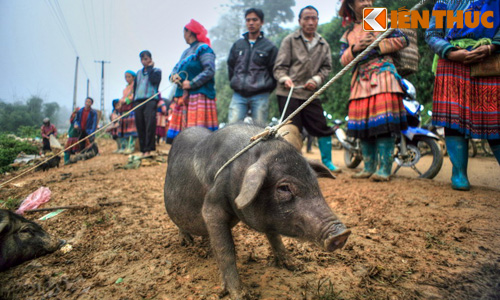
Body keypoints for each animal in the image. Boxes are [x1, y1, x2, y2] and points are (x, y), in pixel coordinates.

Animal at [165, 123, 352, 298]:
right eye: (284, 188)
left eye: (315, 182)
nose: (342, 234)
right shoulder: (212, 206)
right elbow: (226, 248)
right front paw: (240, 294)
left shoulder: (269, 219)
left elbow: (275, 237)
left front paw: (297, 266)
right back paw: (187, 242)